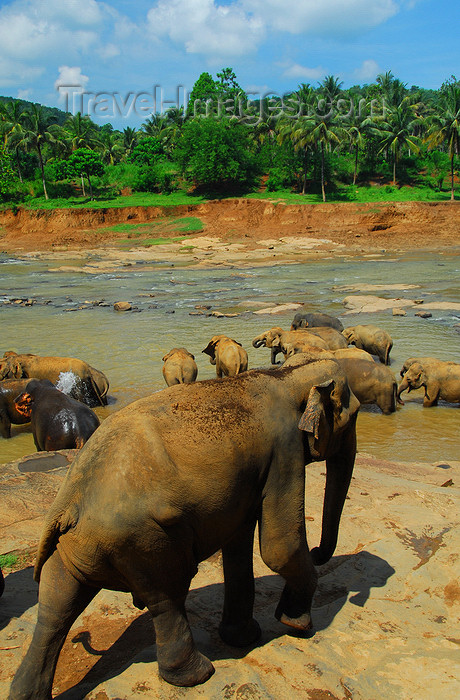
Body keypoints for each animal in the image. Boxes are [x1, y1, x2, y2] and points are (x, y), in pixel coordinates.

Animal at [8, 358, 360, 696]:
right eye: (352, 416)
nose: (318, 551)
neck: (287, 375)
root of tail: (70, 498)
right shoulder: (285, 451)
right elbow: (279, 548)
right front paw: (298, 625)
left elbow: (239, 542)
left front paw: (244, 637)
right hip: (144, 539)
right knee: (167, 596)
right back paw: (196, 675)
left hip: (75, 544)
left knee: (55, 606)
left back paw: (26, 692)